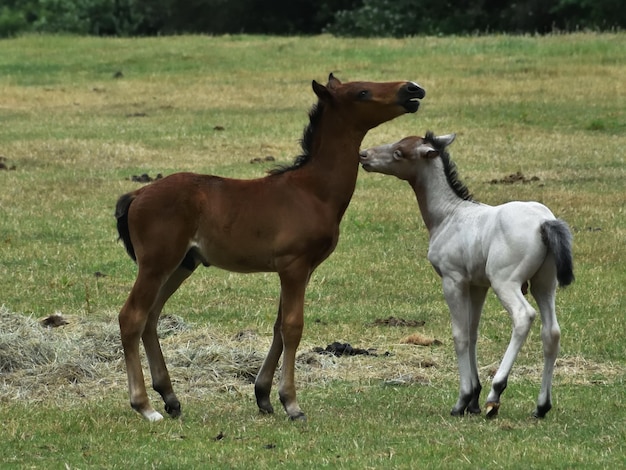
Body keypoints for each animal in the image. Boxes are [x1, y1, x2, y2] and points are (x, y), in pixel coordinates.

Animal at [114, 73, 426, 422]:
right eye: (362, 92)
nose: (412, 89)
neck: (313, 191)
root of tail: (138, 194)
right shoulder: (294, 265)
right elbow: (292, 327)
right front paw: (291, 403)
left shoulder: (302, 270)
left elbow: (279, 326)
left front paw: (263, 396)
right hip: (156, 263)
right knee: (132, 317)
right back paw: (145, 406)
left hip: (182, 264)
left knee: (151, 316)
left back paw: (170, 397)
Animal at [358, 132, 572, 418]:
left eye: (399, 153)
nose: (364, 155)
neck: (449, 215)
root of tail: (544, 222)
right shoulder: (477, 285)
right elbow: (472, 333)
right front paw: (473, 400)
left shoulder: (453, 280)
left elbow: (459, 336)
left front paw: (463, 399)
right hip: (544, 284)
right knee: (552, 333)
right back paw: (541, 405)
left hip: (505, 282)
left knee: (523, 316)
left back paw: (496, 392)